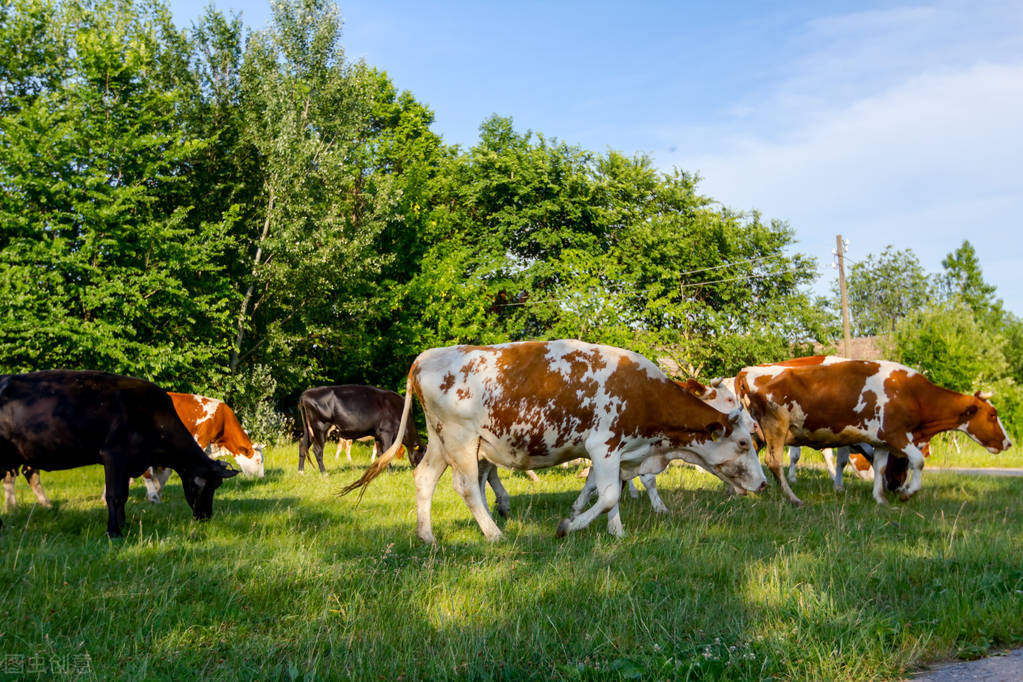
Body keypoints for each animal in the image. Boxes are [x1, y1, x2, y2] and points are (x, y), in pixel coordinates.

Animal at [0, 370, 237, 535]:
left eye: (218, 485)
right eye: (204, 484)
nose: (205, 516)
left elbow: (123, 495)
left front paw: (123, 524)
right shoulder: (115, 456)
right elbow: (114, 496)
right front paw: (114, 532)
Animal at [343, 341, 769, 543]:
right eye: (744, 443)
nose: (764, 483)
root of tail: (427, 356)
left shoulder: (618, 453)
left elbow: (609, 492)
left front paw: (616, 532)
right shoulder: (604, 445)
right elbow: (609, 494)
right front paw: (568, 526)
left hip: (440, 441)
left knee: (424, 479)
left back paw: (427, 536)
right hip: (462, 441)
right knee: (467, 487)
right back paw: (494, 533)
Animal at [740, 357, 1010, 507]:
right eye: (992, 415)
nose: (1007, 443)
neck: (913, 394)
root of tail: (747, 372)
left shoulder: (881, 441)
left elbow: (879, 467)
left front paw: (880, 499)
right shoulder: (896, 434)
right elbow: (919, 461)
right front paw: (907, 493)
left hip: (755, 433)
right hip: (776, 427)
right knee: (774, 462)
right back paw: (793, 498)